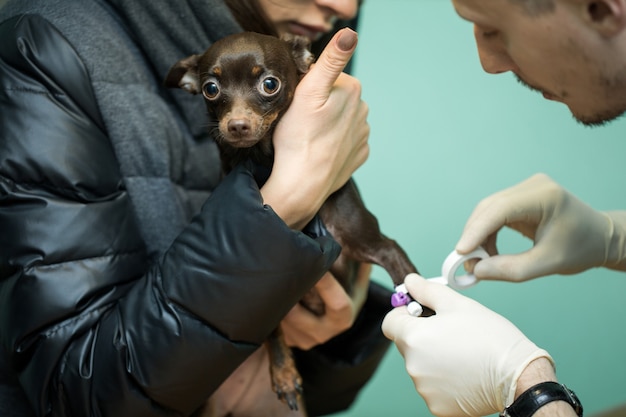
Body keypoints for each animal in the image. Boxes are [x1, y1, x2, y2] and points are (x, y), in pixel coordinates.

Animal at [166, 31, 420, 412]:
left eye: (270, 84)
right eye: (211, 89)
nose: (237, 125)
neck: (266, 162)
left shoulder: (381, 247)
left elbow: (412, 281)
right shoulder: (265, 294)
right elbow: (273, 329)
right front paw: (285, 372)